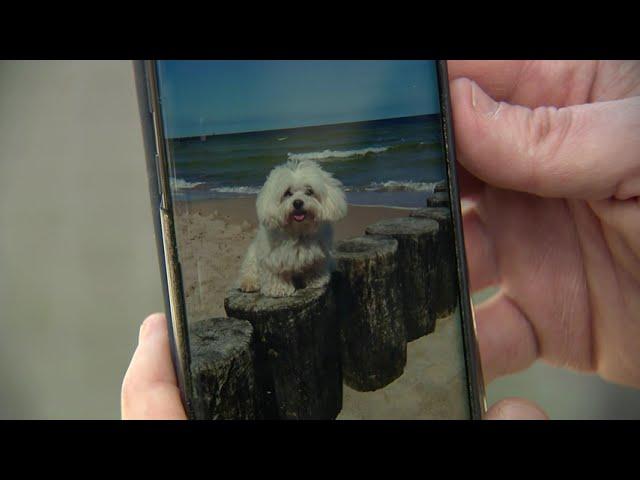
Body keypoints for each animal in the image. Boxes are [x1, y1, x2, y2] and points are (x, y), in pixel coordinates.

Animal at [236, 160, 344, 296]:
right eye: (287, 193)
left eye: (309, 191)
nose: (297, 202)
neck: (298, 230)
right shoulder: (273, 258)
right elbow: (277, 273)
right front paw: (278, 288)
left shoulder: (319, 255)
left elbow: (315, 266)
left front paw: (316, 280)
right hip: (252, 255)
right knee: (250, 270)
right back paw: (248, 283)